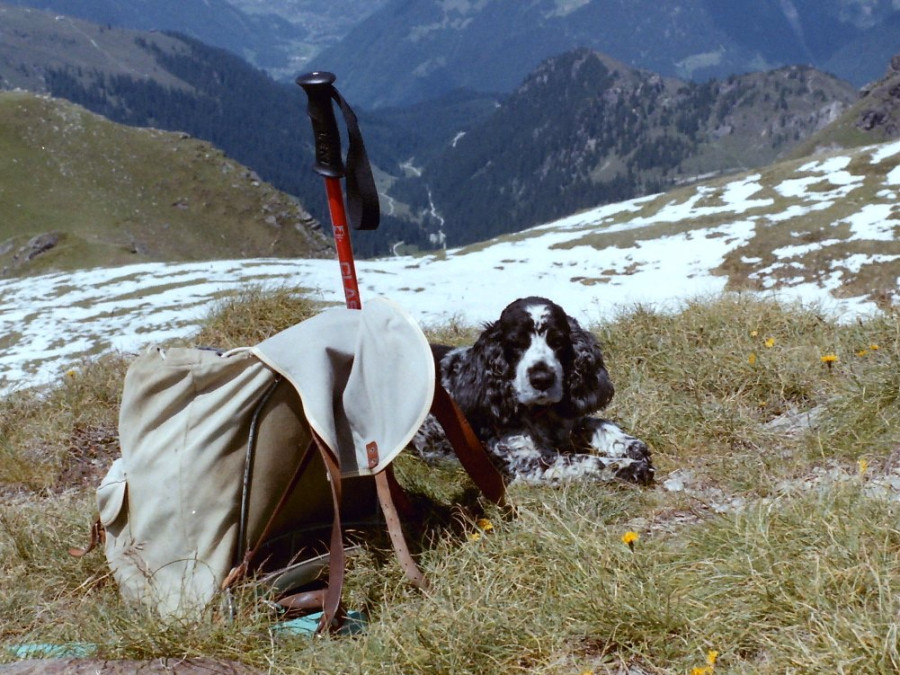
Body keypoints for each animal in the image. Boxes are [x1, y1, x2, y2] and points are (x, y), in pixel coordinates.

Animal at [414, 298, 652, 486]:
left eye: (558, 341)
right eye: (515, 343)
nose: (542, 379)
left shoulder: (569, 420)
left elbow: (600, 423)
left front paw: (631, 446)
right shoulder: (527, 462)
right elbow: (583, 459)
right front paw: (629, 466)